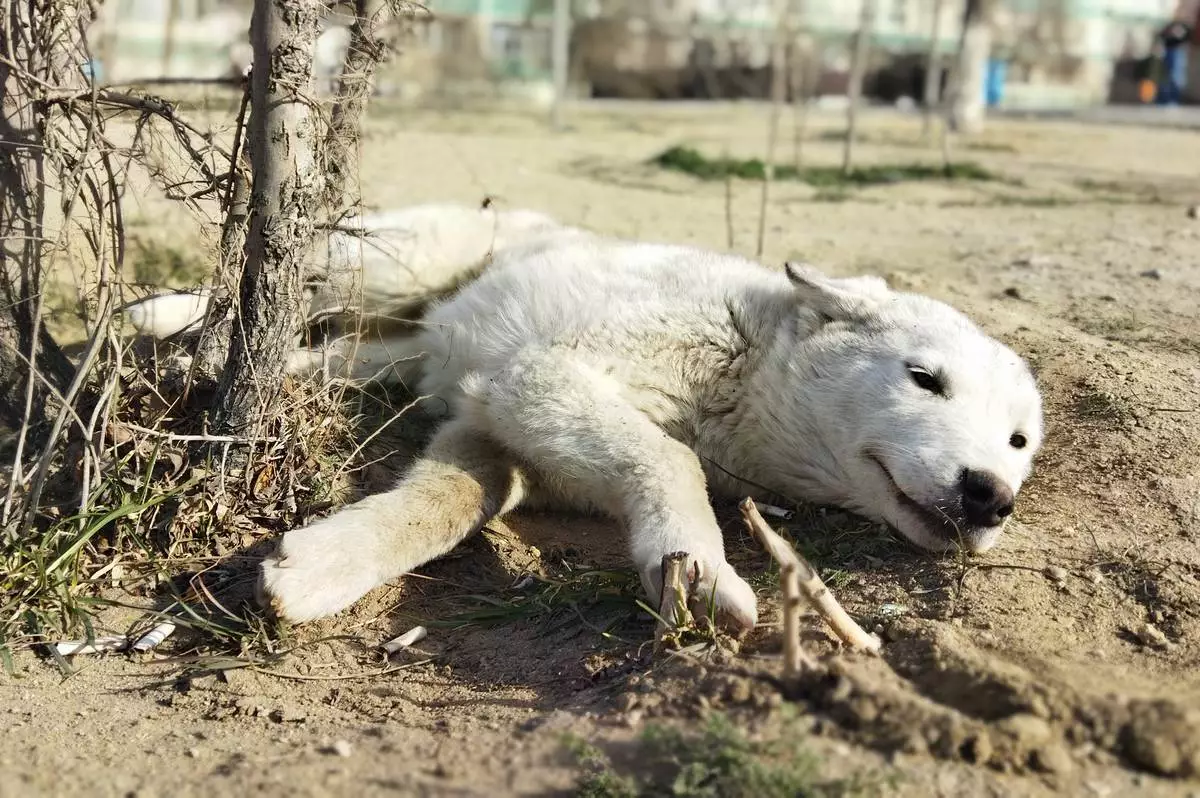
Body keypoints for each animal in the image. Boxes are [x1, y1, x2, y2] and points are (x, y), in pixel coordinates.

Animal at [246, 206, 1051, 633]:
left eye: (1018, 443)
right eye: (924, 380)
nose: (990, 497)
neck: (746, 370)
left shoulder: (491, 419)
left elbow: (441, 506)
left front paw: (315, 569)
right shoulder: (540, 376)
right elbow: (670, 456)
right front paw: (698, 567)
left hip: (406, 351)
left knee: (333, 356)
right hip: (372, 272)